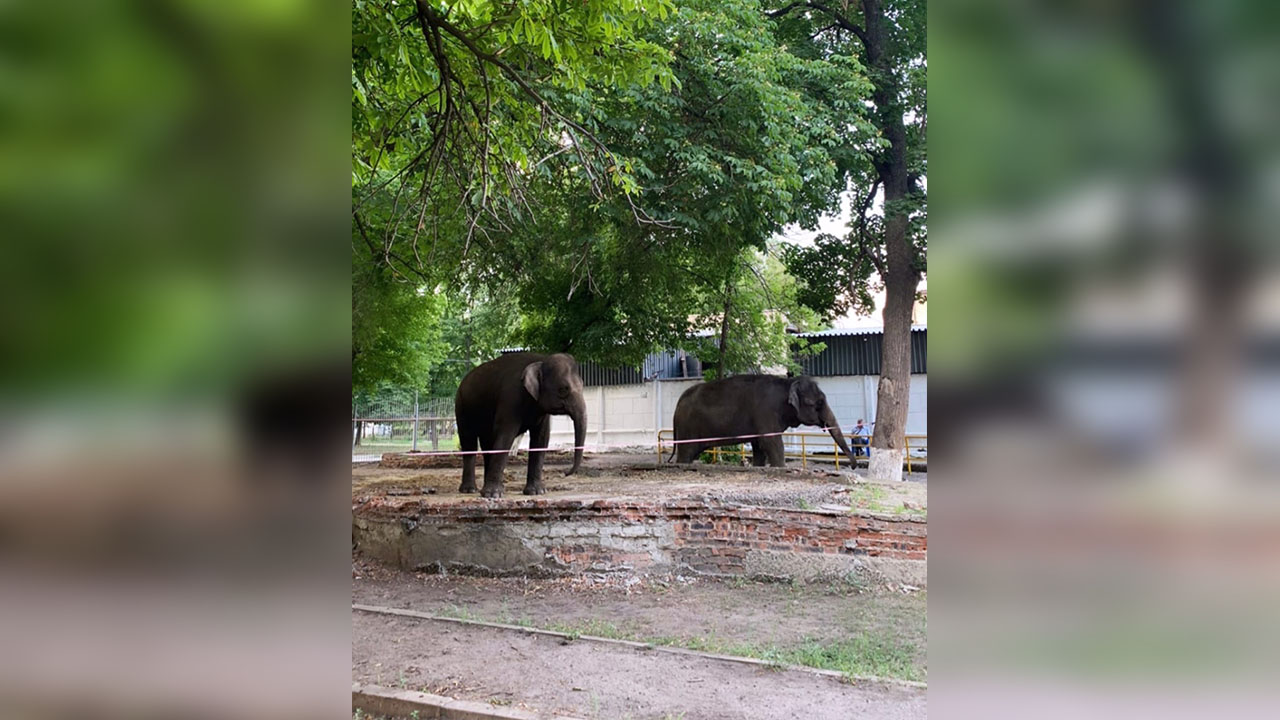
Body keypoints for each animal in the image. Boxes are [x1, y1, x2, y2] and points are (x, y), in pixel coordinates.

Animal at [453, 351, 586, 497]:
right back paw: (470, 490)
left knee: (487, 443)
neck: (541, 359)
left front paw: (536, 492)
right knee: (469, 442)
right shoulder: (510, 399)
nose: (565, 472)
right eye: (563, 389)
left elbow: (541, 439)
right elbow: (505, 436)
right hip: (461, 407)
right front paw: (493, 495)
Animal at [670, 371, 860, 468]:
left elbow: (759, 446)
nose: (853, 465)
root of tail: (678, 403)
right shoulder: (766, 412)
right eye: (818, 403)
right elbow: (772, 443)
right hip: (688, 428)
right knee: (686, 453)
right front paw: (780, 468)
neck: (787, 383)